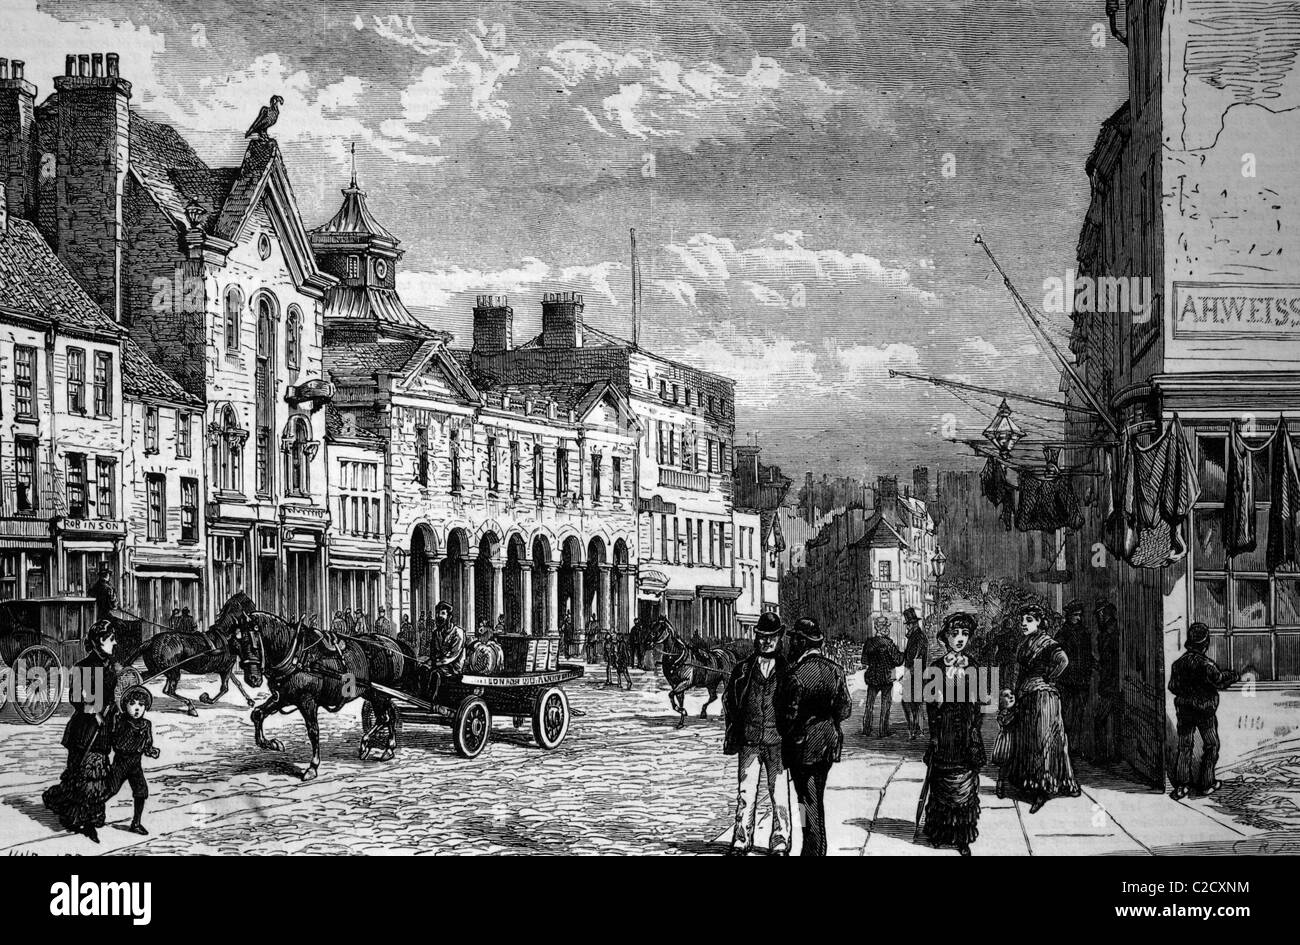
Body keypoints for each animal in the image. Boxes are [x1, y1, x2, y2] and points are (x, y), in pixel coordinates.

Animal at [228, 610, 421, 779]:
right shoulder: (282, 697)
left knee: (387, 716)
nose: (252, 679)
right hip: (372, 693)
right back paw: (377, 746)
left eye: (252, 642)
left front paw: (312, 767)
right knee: (388, 716)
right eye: (236, 645)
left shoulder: (307, 701)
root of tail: (393, 644)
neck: (297, 654)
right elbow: (257, 714)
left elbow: (313, 731)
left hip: (380, 694)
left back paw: (383, 747)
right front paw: (272, 744)